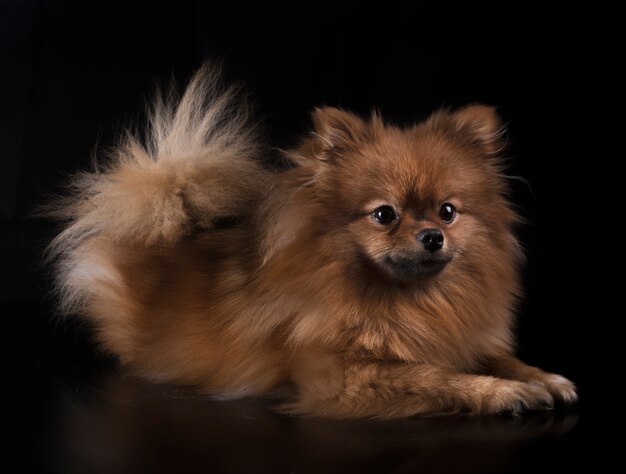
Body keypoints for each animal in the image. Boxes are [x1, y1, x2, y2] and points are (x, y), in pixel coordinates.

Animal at [48, 66, 576, 418]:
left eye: (448, 211)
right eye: (384, 215)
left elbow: (503, 357)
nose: (432, 236)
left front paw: (543, 377)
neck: (410, 302)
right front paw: (501, 392)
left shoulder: (463, 335)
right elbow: (436, 375)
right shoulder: (338, 375)